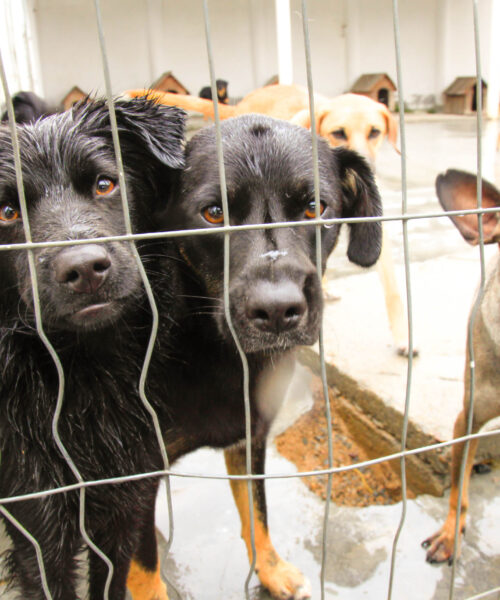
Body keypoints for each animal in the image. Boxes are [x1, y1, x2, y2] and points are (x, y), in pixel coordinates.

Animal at [161, 113, 382, 600]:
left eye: (316, 206)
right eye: (214, 213)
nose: (279, 311)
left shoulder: (250, 439)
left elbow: (257, 514)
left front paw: (272, 572)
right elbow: (140, 575)